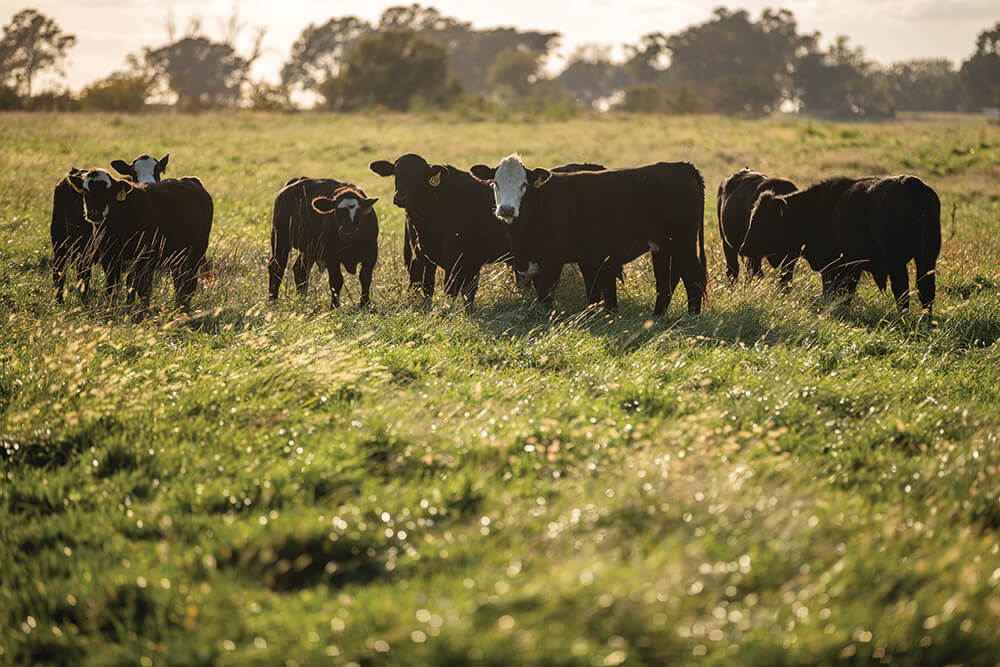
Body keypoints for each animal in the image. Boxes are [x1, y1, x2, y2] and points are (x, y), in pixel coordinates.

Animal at [65, 170, 213, 310]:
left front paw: (142, 314)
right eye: (86, 191)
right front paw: (112, 312)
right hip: (177, 258)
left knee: (189, 284)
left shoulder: (144, 259)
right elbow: (112, 289)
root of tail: (191, 180)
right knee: (179, 283)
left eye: (109, 192)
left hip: (196, 254)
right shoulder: (109, 259)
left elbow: (142, 289)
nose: (94, 213)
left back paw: (183, 309)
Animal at [370, 153, 608, 306]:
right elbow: (427, 290)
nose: (400, 198)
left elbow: (455, 293)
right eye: (396, 174)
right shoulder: (422, 258)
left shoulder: (459, 260)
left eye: (420, 176)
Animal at [472, 155, 708, 318]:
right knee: (665, 282)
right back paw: (657, 317)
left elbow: (547, 296)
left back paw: (692, 318)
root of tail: (682, 166)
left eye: (524, 184)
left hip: (684, 244)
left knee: (694, 279)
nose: (507, 209)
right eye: (495, 183)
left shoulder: (553, 261)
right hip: (663, 247)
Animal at [740, 175, 940, 316]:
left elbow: (837, 292)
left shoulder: (842, 266)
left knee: (902, 290)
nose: (744, 247)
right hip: (926, 259)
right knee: (926, 290)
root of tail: (912, 185)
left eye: (764, 222)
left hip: (896, 263)